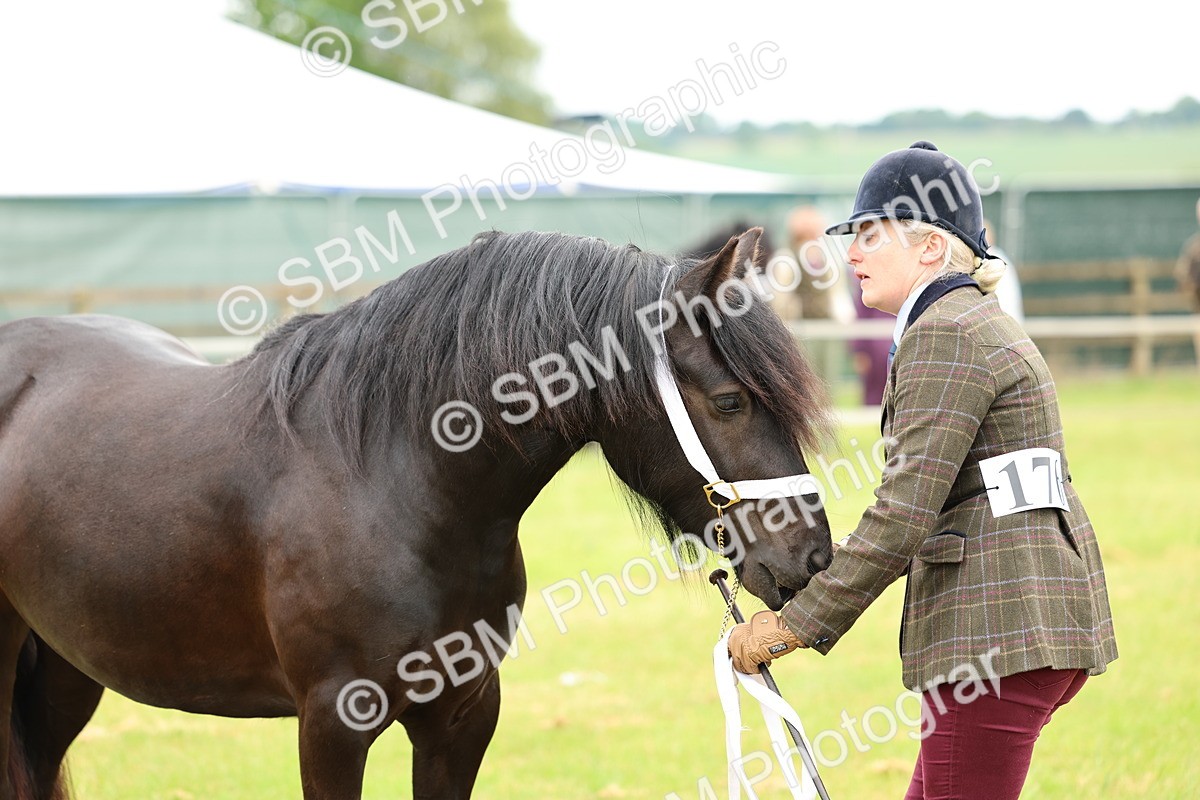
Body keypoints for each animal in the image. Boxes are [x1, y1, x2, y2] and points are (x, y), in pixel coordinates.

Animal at [0, 227, 835, 799]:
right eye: (728, 401)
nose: (814, 557)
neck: (388, 481)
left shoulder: (461, 715)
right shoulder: (331, 725)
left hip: (67, 670)